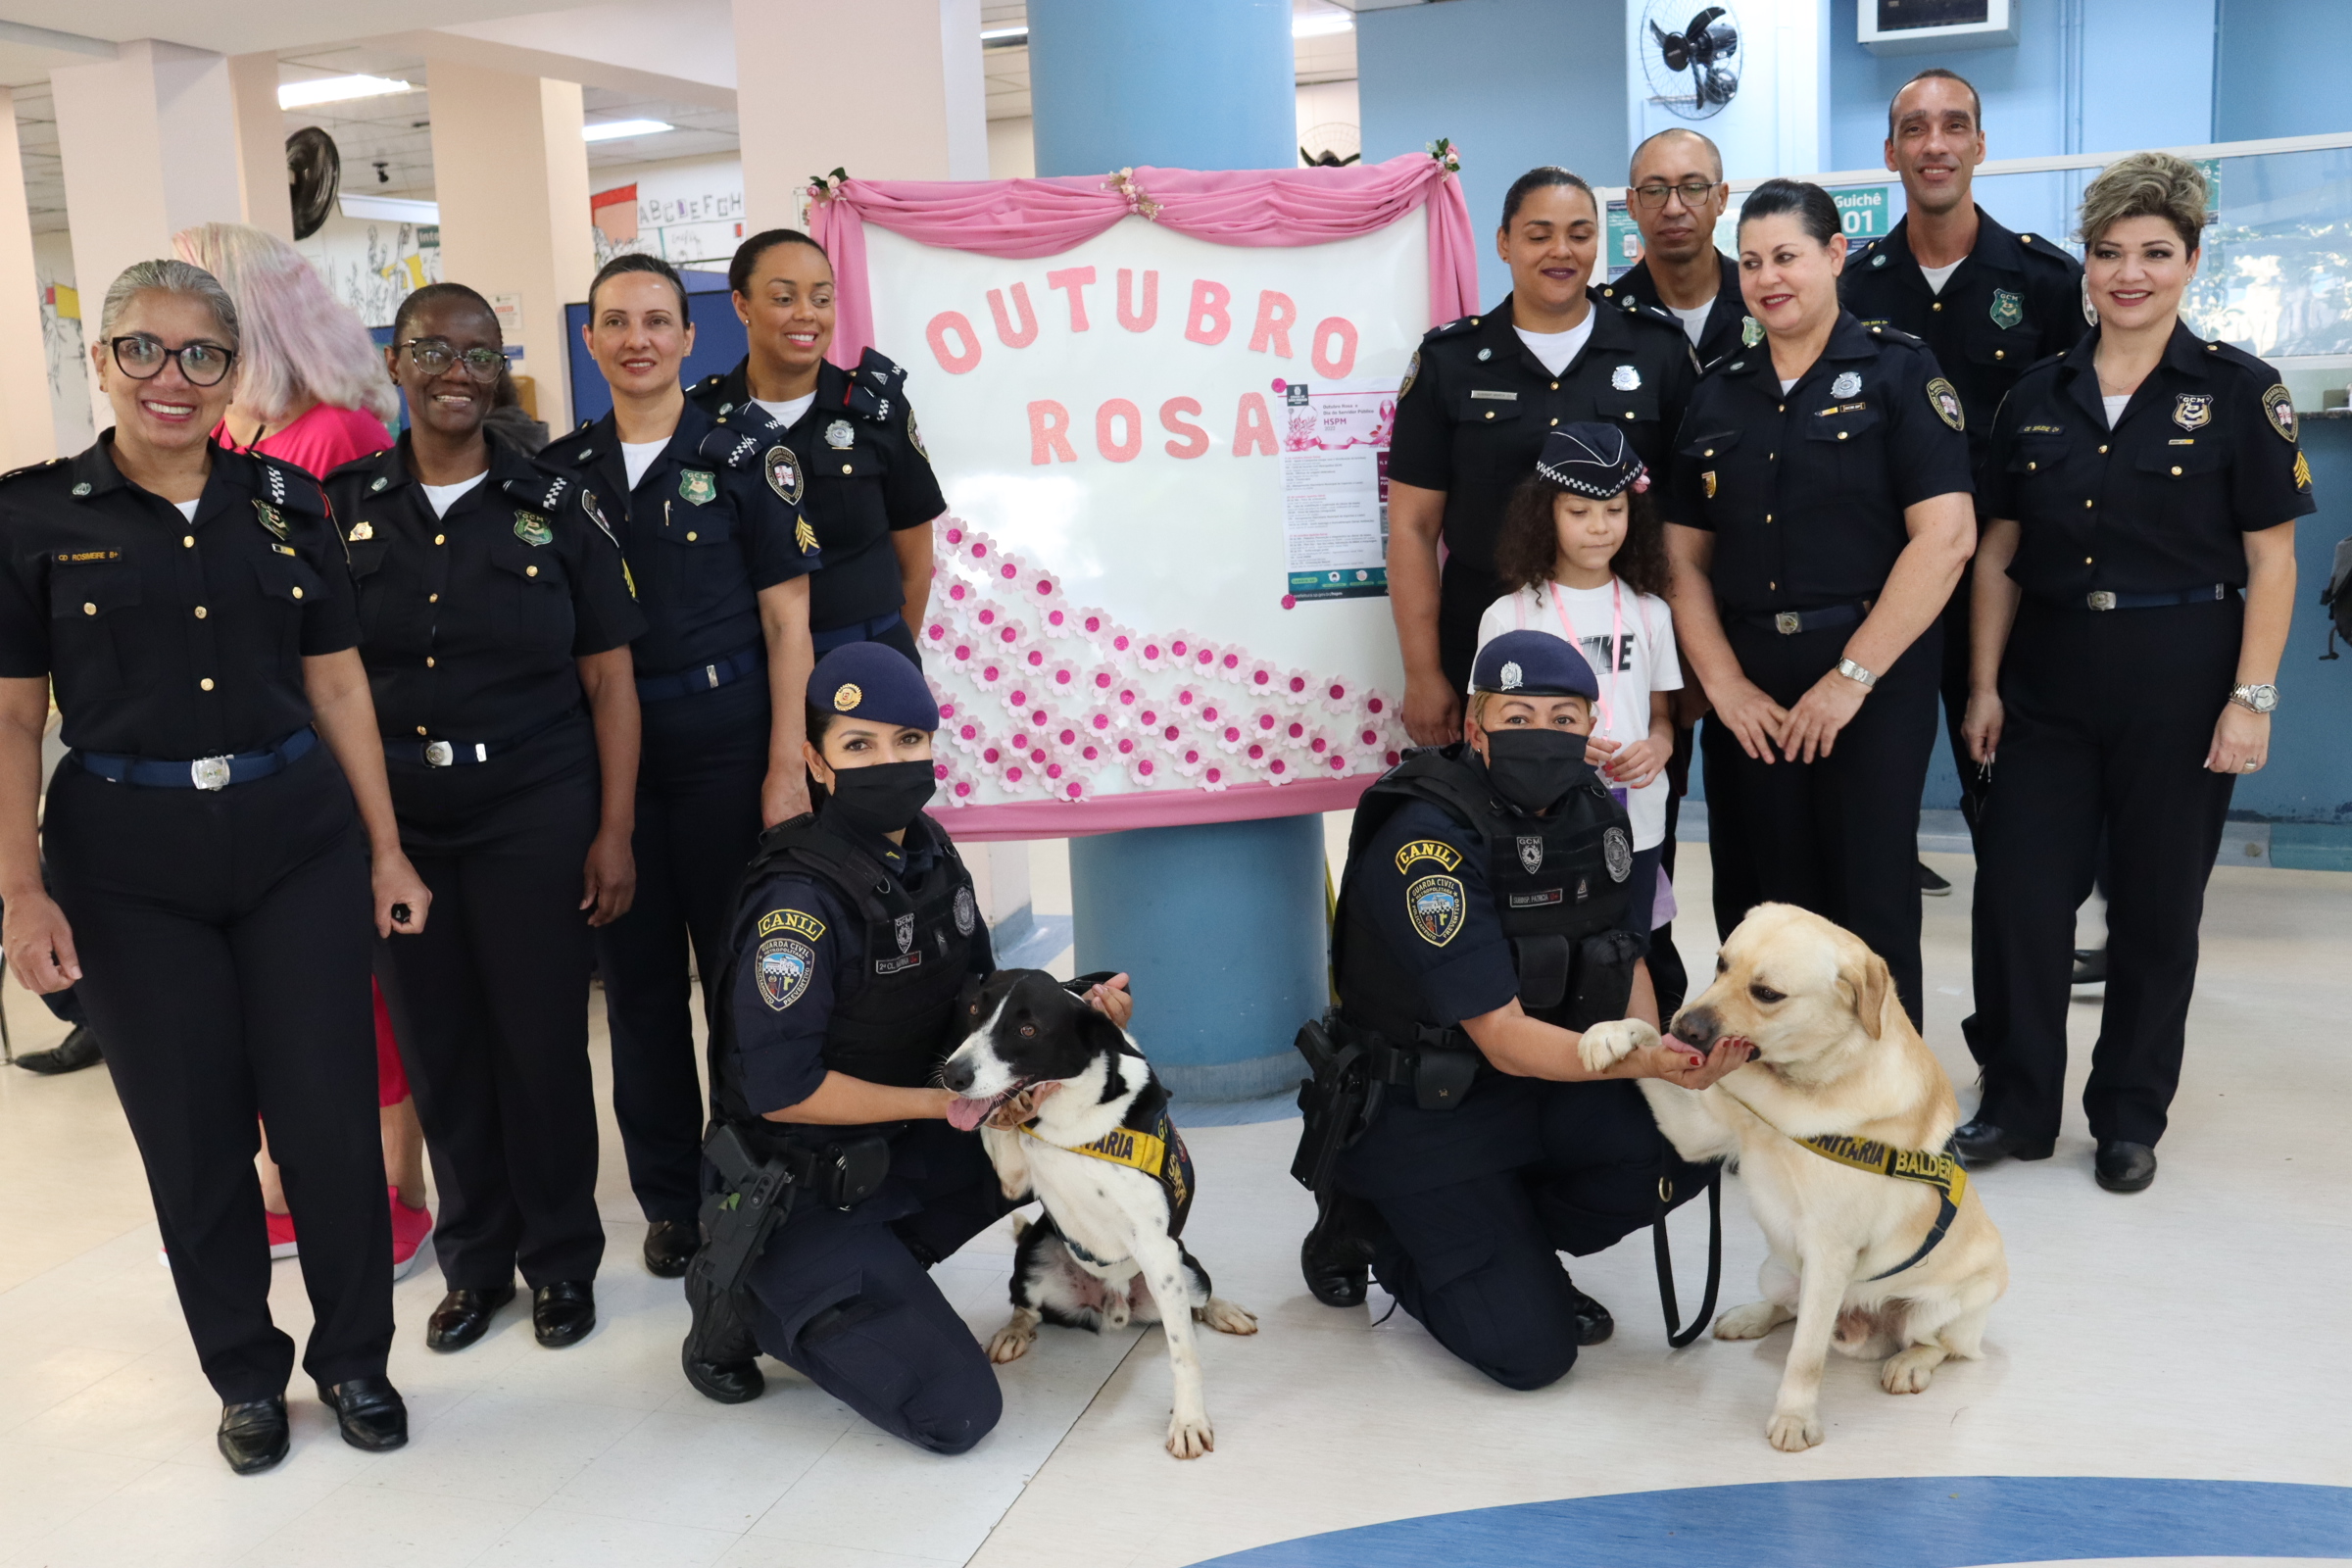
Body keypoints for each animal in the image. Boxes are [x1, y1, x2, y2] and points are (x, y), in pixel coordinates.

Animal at [945, 968, 1260, 1457]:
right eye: (976, 1009)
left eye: (1028, 1030)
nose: (951, 1075)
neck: (1073, 1115)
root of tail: (1114, 1308)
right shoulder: (1014, 1180)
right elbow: (997, 1128)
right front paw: (1011, 1109)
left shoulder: (1156, 1248)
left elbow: (1183, 1352)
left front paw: (1188, 1421)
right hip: (1036, 1249)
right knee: (1027, 1306)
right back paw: (1014, 1332)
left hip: (1184, 1268)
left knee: (1196, 1306)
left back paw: (1224, 1311)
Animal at [1580, 903, 2003, 1457]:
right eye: (1721, 964)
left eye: (1767, 993)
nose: (1687, 1026)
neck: (1802, 1084)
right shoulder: (1696, 1133)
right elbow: (1649, 1042)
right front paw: (1613, 1033)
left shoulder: (1830, 1253)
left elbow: (1805, 1356)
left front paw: (1794, 1418)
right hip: (1778, 1268)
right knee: (1792, 1309)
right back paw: (1750, 1316)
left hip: (1945, 1303)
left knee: (1940, 1345)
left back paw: (1909, 1364)